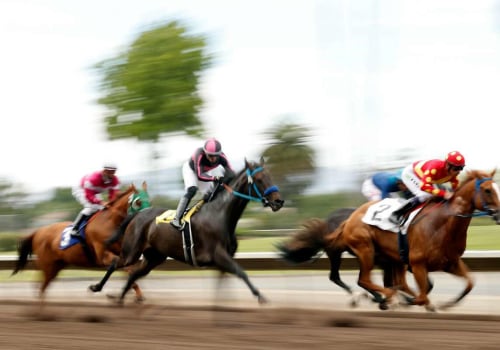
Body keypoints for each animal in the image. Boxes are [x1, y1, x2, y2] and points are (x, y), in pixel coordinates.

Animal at [12, 182, 150, 302]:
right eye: (138, 202)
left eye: (149, 199)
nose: (148, 218)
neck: (112, 222)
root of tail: (37, 231)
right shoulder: (103, 255)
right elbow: (115, 266)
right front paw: (96, 287)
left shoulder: (124, 254)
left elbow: (130, 272)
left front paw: (136, 295)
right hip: (47, 265)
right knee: (40, 288)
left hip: (56, 266)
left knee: (41, 287)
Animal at [108, 157, 286, 304]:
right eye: (259, 179)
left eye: (270, 176)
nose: (279, 201)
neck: (220, 214)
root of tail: (137, 214)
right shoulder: (219, 255)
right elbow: (241, 273)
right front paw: (260, 296)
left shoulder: (224, 260)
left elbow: (222, 283)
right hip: (131, 252)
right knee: (115, 264)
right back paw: (104, 291)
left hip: (154, 257)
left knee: (133, 274)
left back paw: (120, 298)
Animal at [280, 170, 498, 312]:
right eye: (488, 190)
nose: (497, 214)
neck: (442, 224)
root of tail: (347, 220)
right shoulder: (417, 264)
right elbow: (421, 293)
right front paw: (401, 301)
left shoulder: (449, 262)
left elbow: (469, 283)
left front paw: (445, 304)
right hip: (362, 250)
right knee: (360, 279)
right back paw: (379, 298)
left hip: (387, 257)